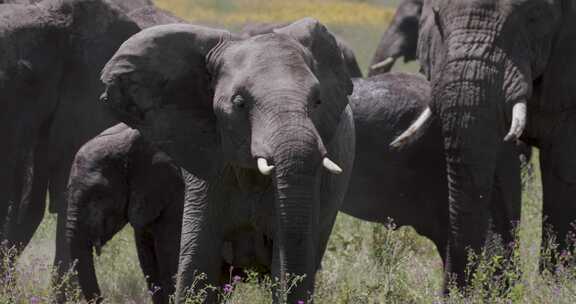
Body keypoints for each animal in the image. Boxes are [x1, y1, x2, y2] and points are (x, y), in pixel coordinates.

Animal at [392, 0, 576, 290]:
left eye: (533, 17)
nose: (448, 293)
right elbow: (501, 170)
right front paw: (504, 289)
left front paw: (556, 287)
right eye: (437, 19)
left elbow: (563, 168)